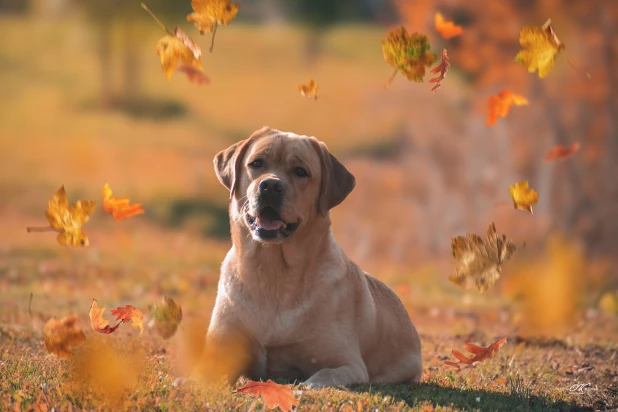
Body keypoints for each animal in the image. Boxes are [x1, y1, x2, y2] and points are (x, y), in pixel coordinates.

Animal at [200, 127, 422, 388]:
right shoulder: (219, 349)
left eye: (300, 171)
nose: (270, 186)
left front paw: (304, 387)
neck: (272, 274)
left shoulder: (348, 364)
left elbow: (322, 375)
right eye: (256, 163)